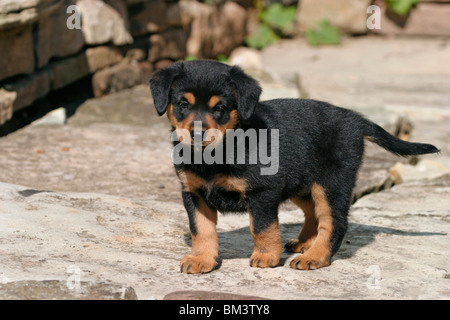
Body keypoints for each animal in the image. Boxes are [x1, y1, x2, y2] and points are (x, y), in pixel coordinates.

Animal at [149, 59, 438, 272]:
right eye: (183, 104)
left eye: (219, 108)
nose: (197, 133)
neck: (215, 155)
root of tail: (355, 119)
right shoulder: (193, 193)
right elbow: (201, 229)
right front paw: (201, 259)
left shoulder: (263, 192)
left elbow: (262, 227)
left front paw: (266, 256)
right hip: (303, 182)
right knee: (313, 213)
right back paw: (304, 244)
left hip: (332, 182)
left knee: (334, 222)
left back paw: (315, 256)